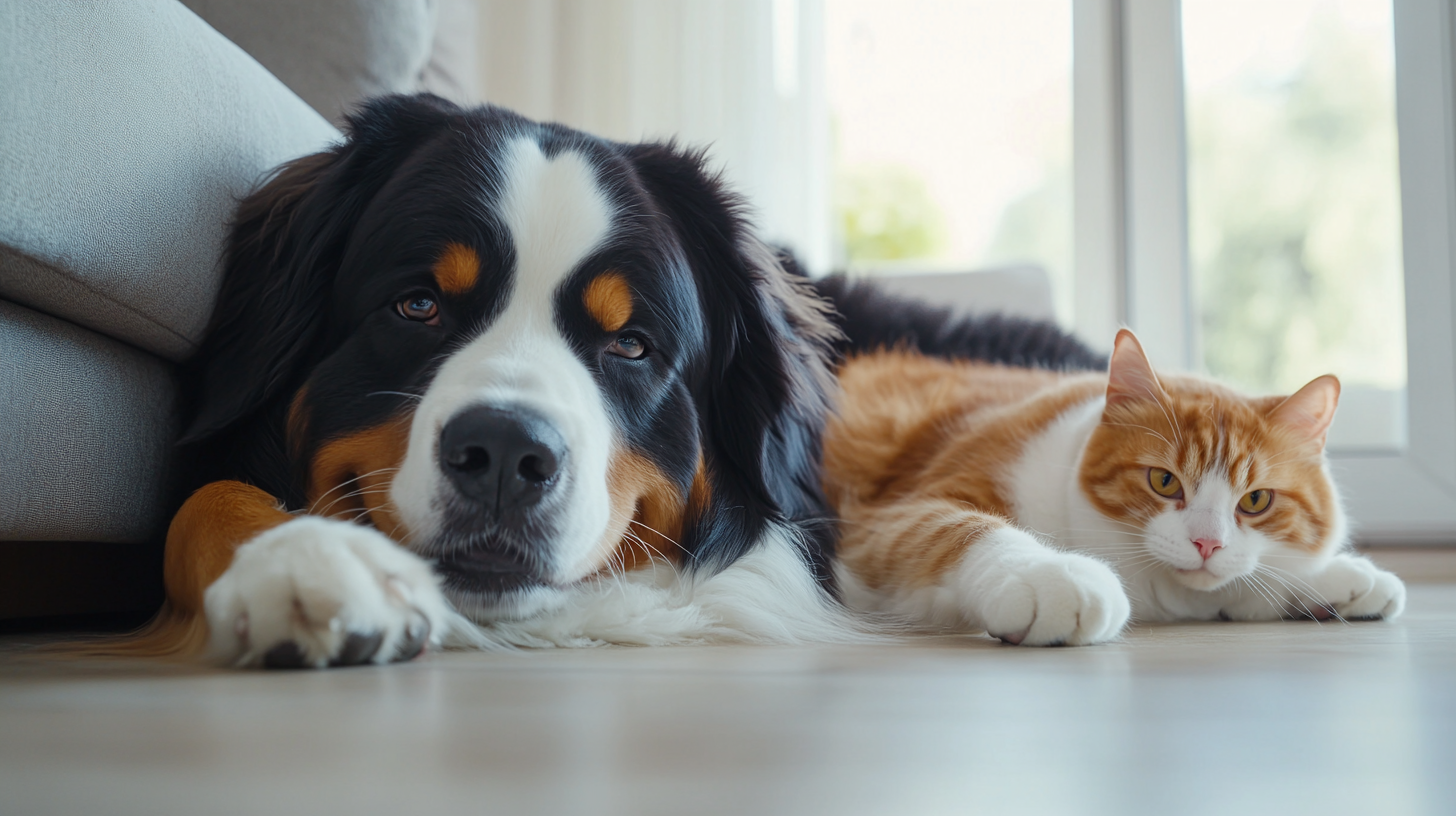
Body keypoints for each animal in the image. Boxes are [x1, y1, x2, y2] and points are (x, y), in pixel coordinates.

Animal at [832, 327, 1409, 646]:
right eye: (1164, 481)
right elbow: (961, 530)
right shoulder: (890, 518)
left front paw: (1331, 579)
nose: (1207, 543)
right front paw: (1048, 575)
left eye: (1255, 500)